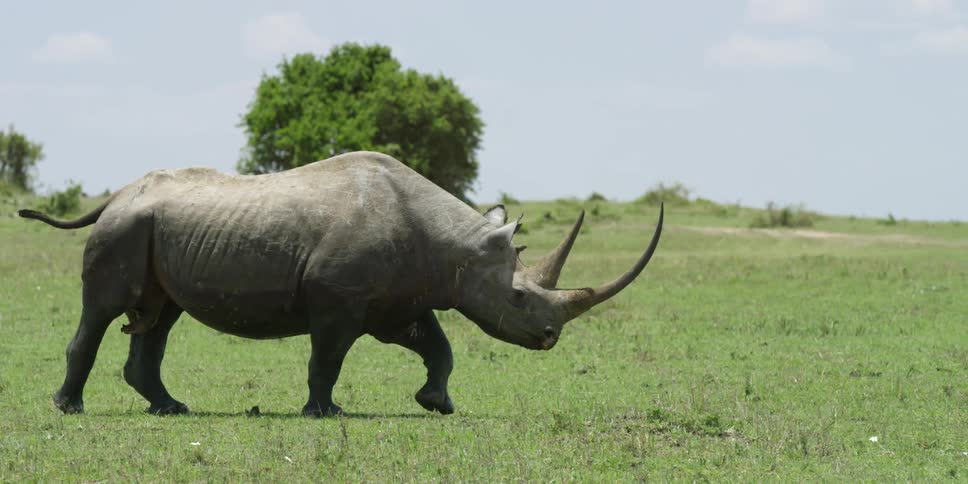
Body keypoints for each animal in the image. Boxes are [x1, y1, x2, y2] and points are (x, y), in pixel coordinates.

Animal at [19, 151, 663, 417]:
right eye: (521, 298)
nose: (551, 338)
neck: (457, 246)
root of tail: (115, 196)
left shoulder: (398, 300)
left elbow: (439, 347)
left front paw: (437, 404)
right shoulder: (338, 300)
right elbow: (327, 358)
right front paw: (325, 413)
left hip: (151, 227)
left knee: (160, 315)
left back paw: (173, 410)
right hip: (126, 228)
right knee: (104, 311)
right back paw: (70, 409)